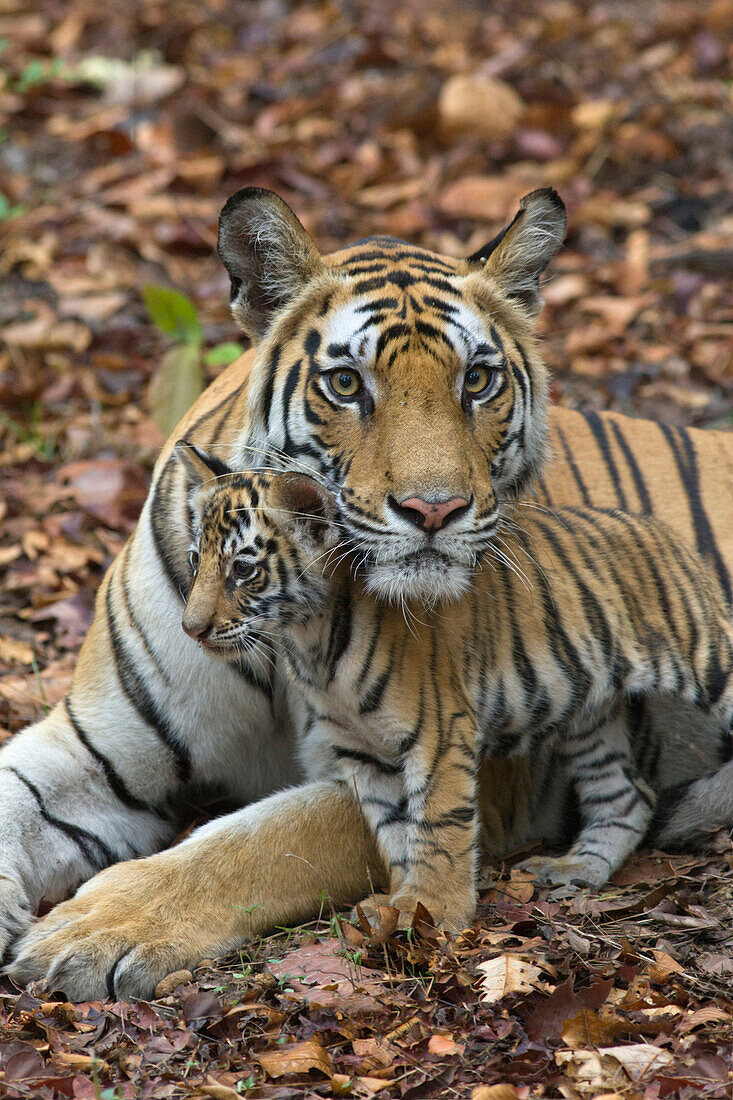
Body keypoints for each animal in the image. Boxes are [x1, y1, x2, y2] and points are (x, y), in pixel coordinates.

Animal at [4, 187, 730, 998]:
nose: (434, 510)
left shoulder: (477, 765)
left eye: (477, 380)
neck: (283, 628)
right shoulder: (96, 744)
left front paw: (99, 928)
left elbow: (261, 841)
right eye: (346, 384)